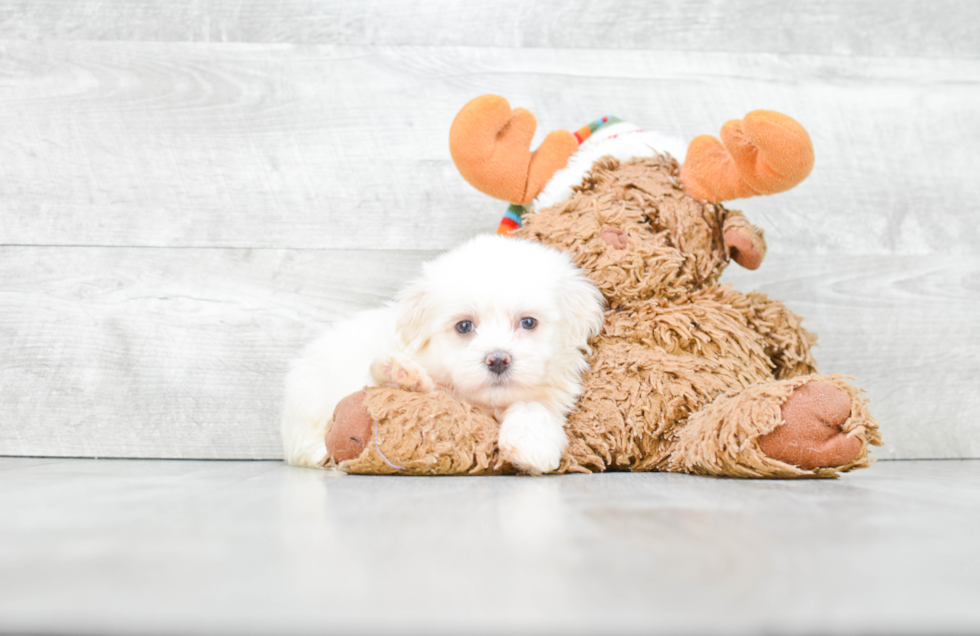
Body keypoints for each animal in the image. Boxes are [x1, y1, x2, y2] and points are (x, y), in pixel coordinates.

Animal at [280, 234, 604, 472]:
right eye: (464, 326)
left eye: (528, 323)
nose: (498, 359)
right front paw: (399, 375)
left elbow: (534, 408)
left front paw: (531, 443)